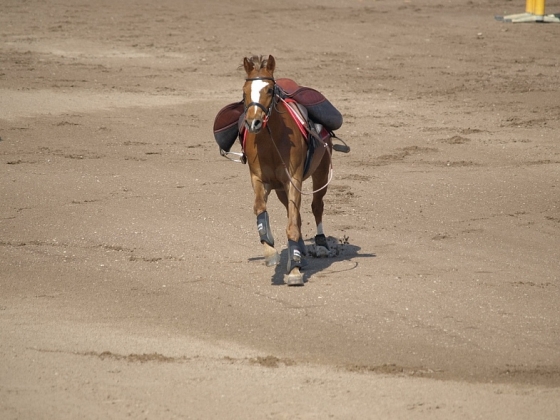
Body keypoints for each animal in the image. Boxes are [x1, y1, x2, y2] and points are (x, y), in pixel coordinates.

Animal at [241, 55, 332, 286]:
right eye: (244, 91)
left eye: (269, 90)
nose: (253, 122)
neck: (272, 143)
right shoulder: (259, 180)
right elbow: (260, 210)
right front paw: (270, 252)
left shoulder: (294, 180)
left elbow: (293, 223)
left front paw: (294, 271)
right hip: (281, 189)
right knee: (296, 214)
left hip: (321, 173)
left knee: (316, 206)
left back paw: (320, 245)